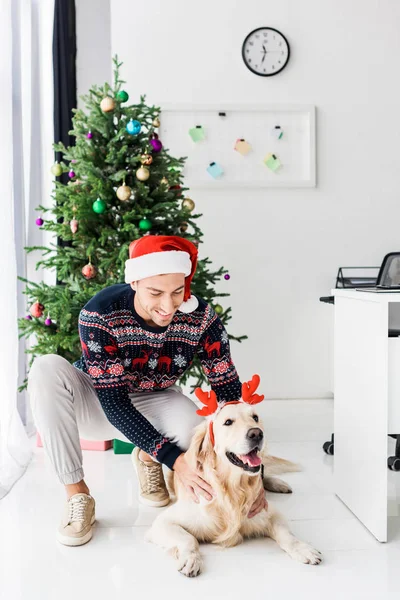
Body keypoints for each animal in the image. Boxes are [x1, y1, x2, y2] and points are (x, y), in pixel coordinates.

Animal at [147, 376, 322, 576]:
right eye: (228, 422)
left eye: (255, 417)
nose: (257, 433)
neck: (233, 489)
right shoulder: (164, 522)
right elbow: (188, 539)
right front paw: (191, 559)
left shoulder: (269, 512)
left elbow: (288, 534)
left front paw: (303, 549)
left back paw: (278, 484)